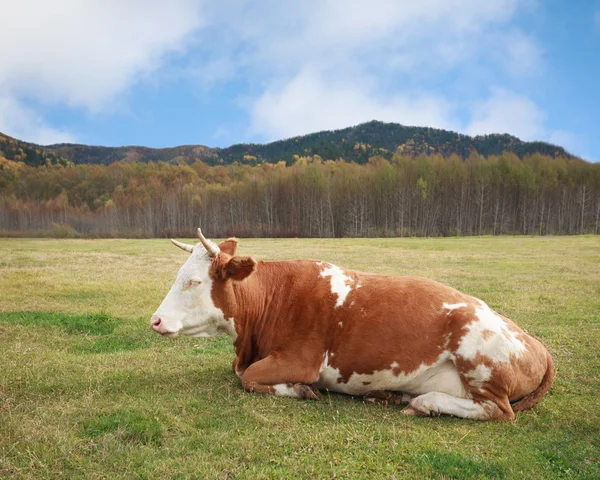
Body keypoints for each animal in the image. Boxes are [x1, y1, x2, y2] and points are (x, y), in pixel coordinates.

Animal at [152, 229, 556, 420]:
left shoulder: (300, 359)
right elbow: (239, 371)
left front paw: (301, 390)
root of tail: (535, 342)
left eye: (194, 282)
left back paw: (424, 403)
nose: (155, 320)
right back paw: (395, 395)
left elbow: (247, 377)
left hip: (477, 353)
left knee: (499, 411)